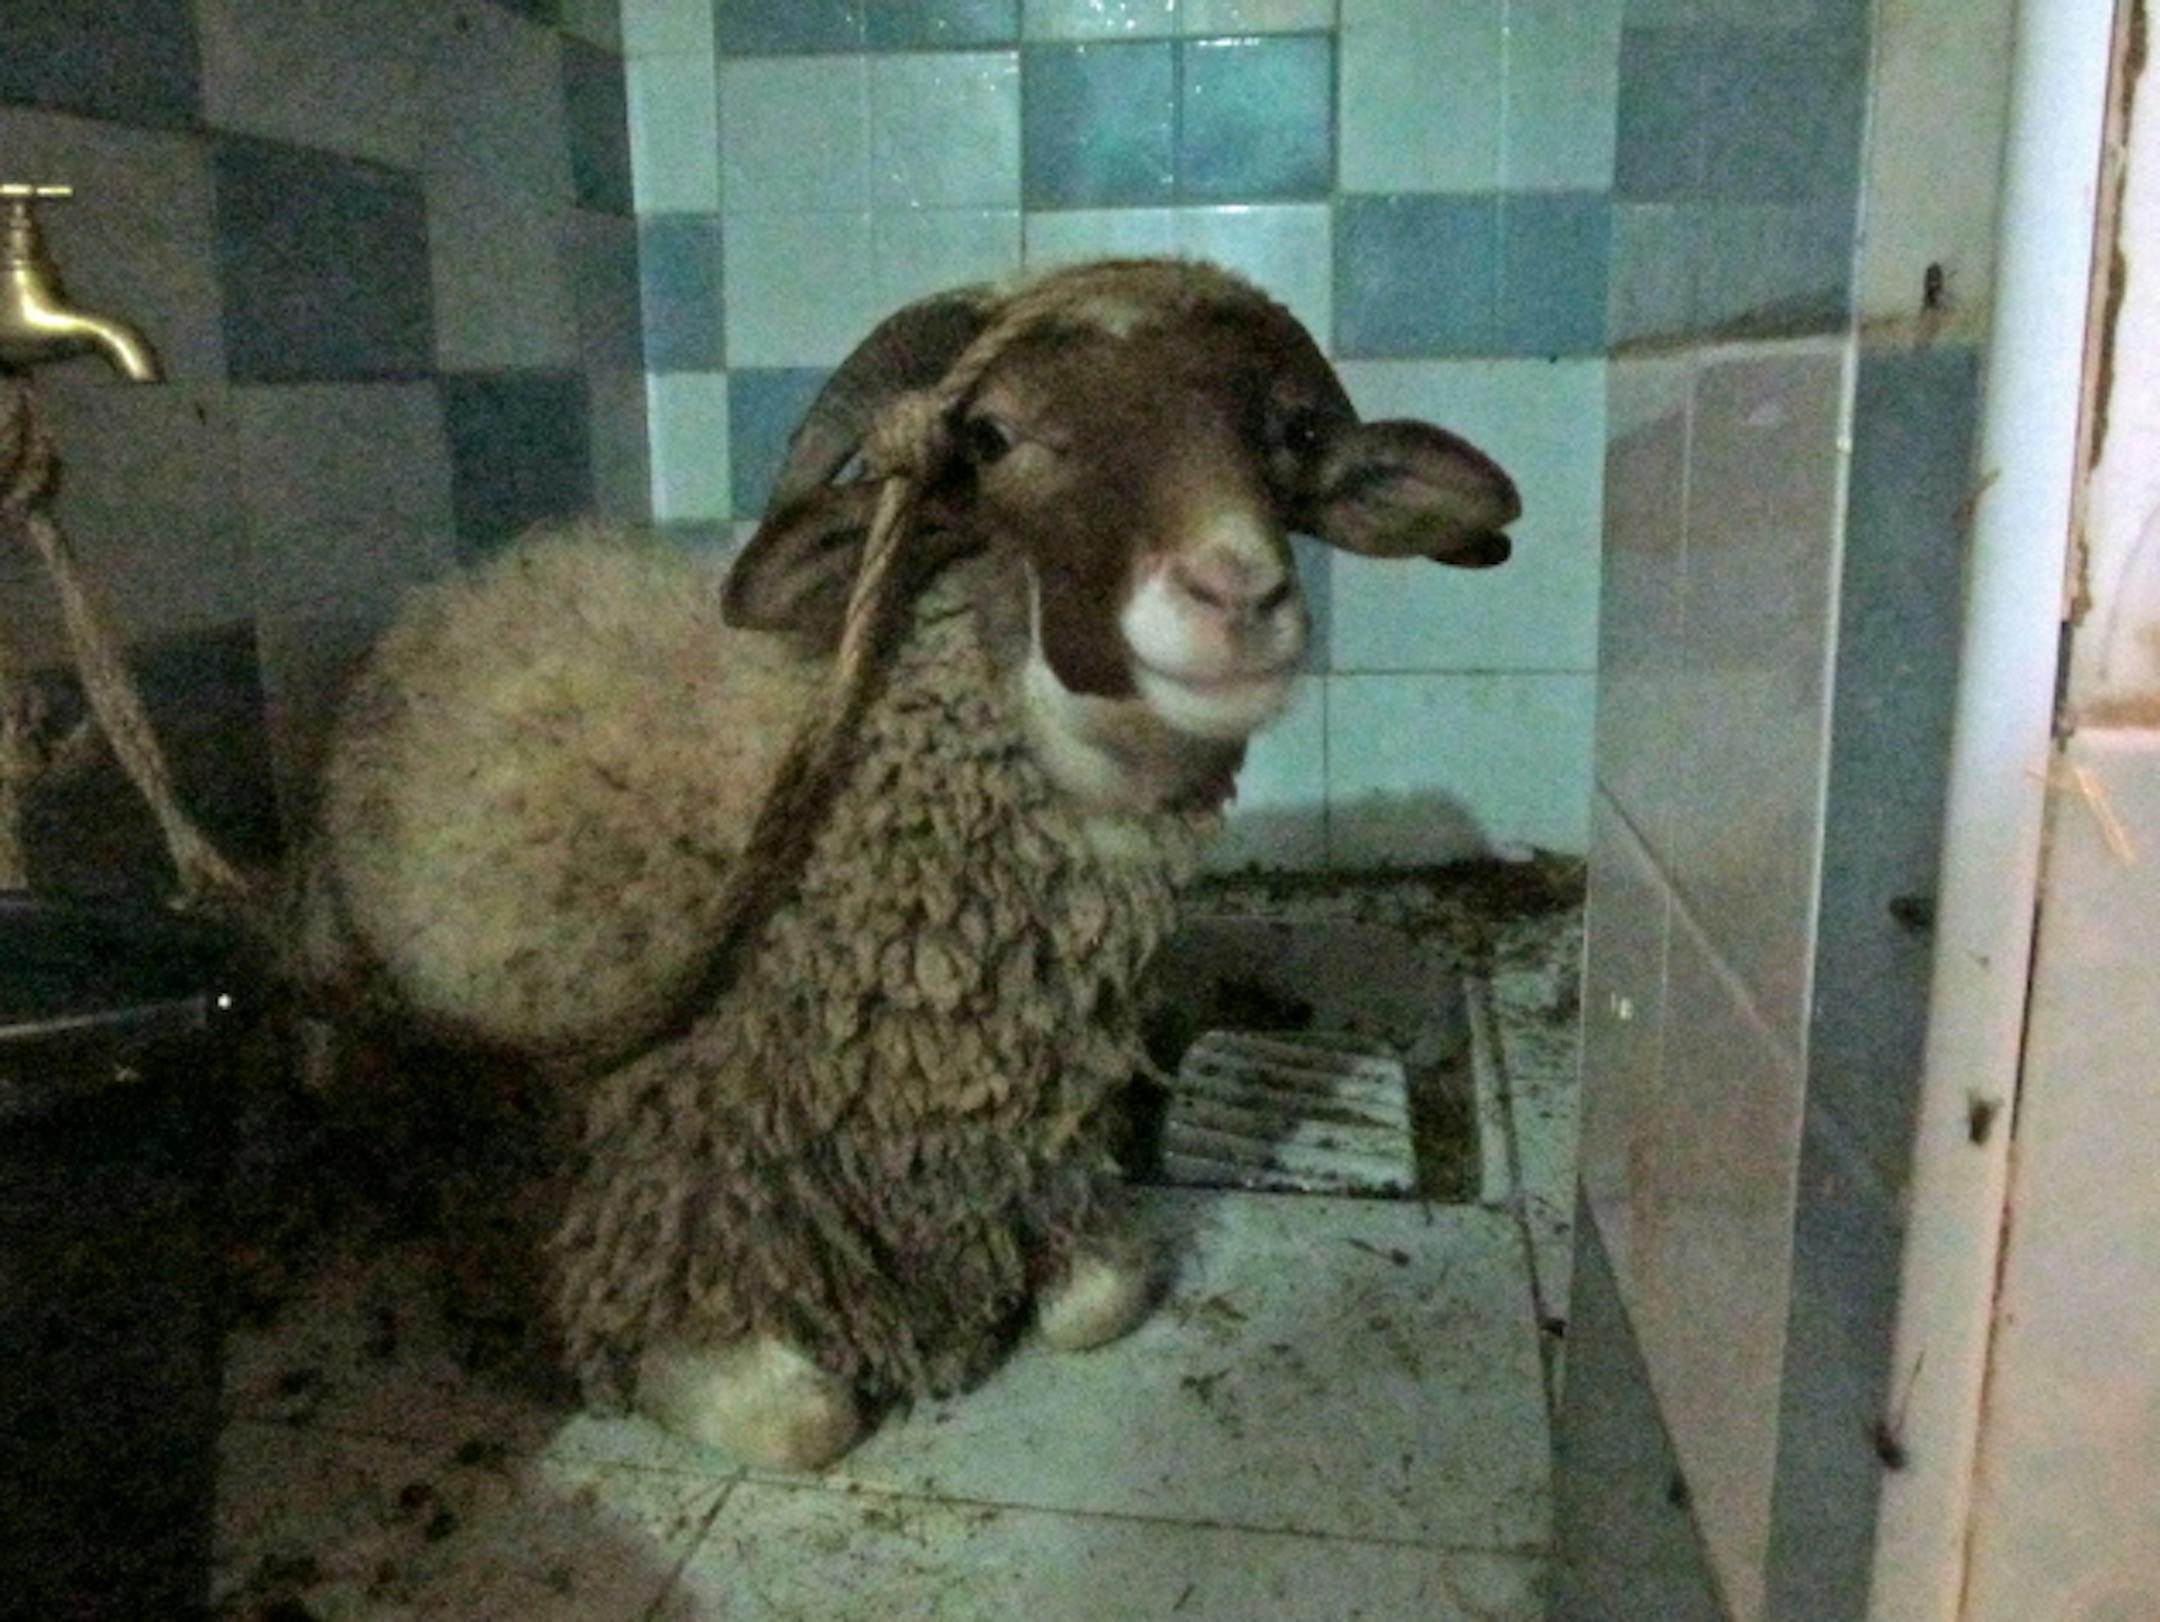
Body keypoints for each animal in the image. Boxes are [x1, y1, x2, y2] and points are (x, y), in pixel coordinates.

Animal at [299, 258, 1520, 1470]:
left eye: (1294, 431)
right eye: (988, 436)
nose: (1239, 596)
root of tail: (482, 576)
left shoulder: (1028, 1169)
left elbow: (1101, 1301)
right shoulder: (670, 1220)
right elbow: (805, 1419)